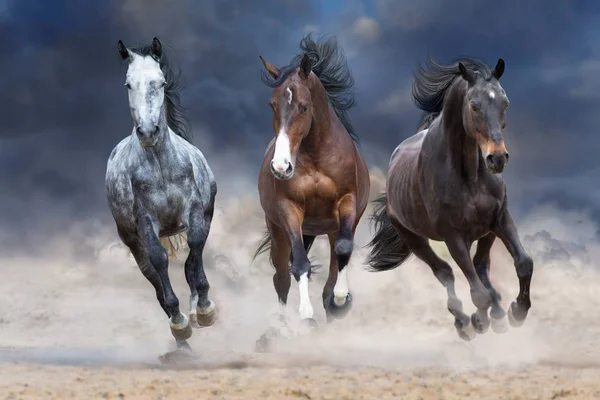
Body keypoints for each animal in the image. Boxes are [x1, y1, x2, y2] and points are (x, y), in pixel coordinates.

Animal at [106, 36, 218, 350]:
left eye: (161, 81)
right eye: (128, 84)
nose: (148, 132)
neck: (161, 166)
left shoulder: (196, 211)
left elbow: (194, 251)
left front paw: (204, 310)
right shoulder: (145, 222)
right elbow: (159, 261)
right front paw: (180, 323)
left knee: (192, 261)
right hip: (131, 240)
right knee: (152, 276)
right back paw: (182, 341)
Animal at [252, 34, 370, 340]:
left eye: (303, 106)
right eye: (272, 104)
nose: (281, 167)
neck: (317, 156)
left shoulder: (346, 202)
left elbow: (343, 250)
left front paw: (341, 301)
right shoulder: (289, 210)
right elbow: (299, 265)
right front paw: (306, 316)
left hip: (330, 228)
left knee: (335, 261)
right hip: (278, 230)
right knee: (281, 276)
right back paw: (280, 328)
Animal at [366, 57, 536, 340]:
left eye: (505, 102)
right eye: (474, 105)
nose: (497, 159)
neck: (469, 175)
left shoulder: (501, 218)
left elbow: (523, 264)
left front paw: (517, 312)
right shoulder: (452, 236)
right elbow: (477, 292)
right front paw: (479, 321)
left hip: (485, 232)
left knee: (480, 266)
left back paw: (498, 314)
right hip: (414, 238)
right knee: (445, 272)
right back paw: (464, 321)